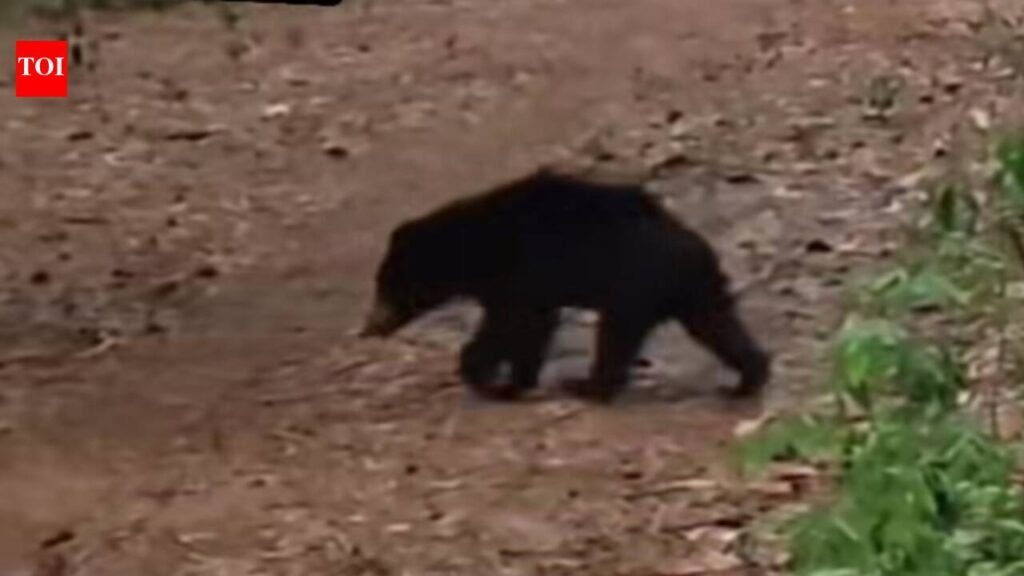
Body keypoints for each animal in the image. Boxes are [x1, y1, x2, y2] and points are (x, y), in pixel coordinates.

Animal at [359, 168, 770, 403]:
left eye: (387, 286)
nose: (369, 327)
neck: (474, 249)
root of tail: (696, 247)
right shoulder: (525, 286)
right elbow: (533, 328)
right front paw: (516, 380)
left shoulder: (520, 272)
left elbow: (513, 324)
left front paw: (487, 377)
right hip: (696, 292)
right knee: (720, 327)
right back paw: (747, 379)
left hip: (633, 288)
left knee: (616, 338)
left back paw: (587, 386)